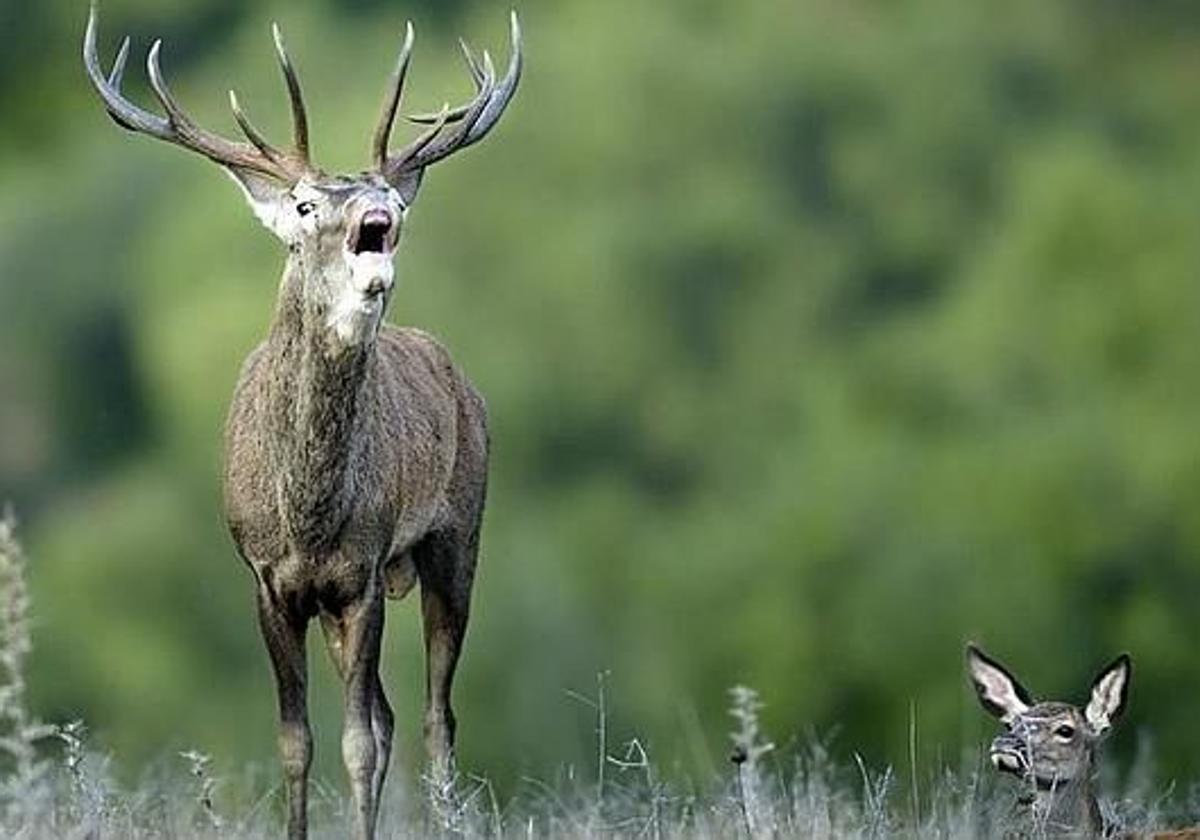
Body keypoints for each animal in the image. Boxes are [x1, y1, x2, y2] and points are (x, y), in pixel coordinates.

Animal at [81, 6, 520, 840]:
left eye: (393, 201)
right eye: (308, 205)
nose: (380, 214)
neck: (308, 512)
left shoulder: (362, 570)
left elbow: (355, 742)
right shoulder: (266, 577)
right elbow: (297, 740)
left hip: (456, 535)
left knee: (434, 715)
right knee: (394, 714)